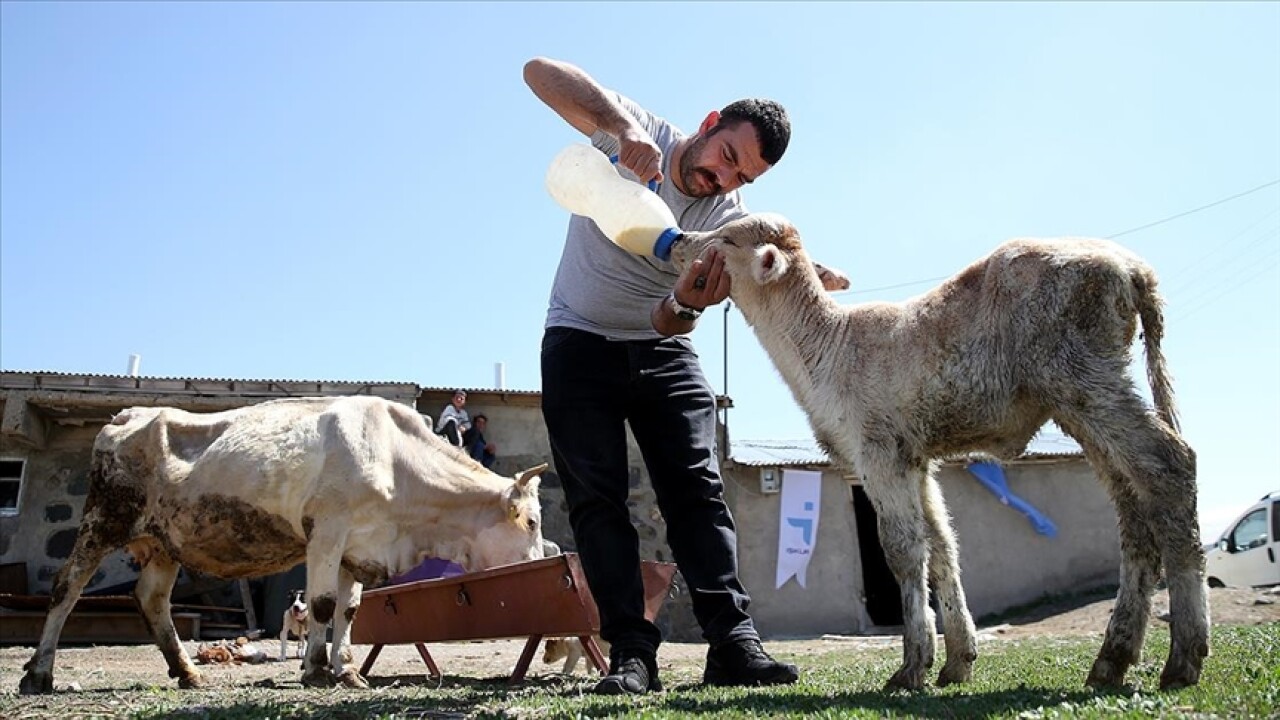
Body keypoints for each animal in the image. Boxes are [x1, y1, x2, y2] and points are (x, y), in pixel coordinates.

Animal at [20, 392, 547, 691]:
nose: (543, 560)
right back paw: (39, 673)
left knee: (151, 598)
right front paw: (314, 670)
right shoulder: (327, 529)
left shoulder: (359, 546)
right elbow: (320, 604)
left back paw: (187, 672)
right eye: (533, 522)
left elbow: (348, 610)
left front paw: (347, 670)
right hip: (103, 519)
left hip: (163, 541)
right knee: (67, 587)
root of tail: (128, 415)